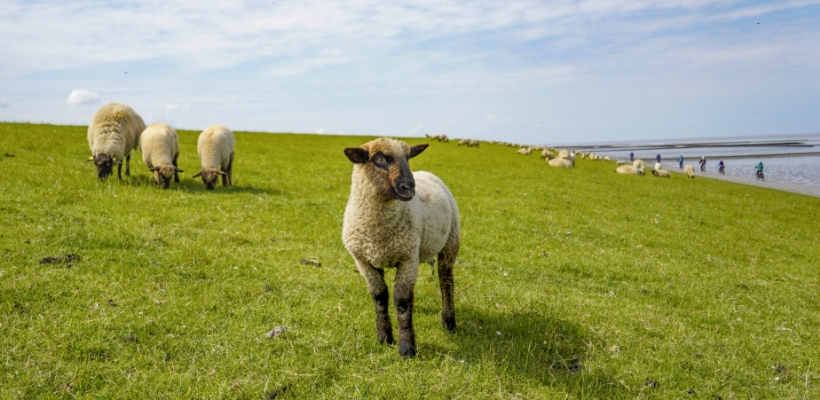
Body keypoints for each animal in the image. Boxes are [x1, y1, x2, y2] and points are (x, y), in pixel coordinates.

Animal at [342, 138, 462, 360]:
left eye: (408, 157)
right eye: (379, 159)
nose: (409, 188)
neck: (377, 231)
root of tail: (425, 172)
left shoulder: (407, 258)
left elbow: (402, 301)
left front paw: (407, 348)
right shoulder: (364, 260)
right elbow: (379, 296)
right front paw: (384, 338)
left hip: (450, 242)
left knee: (446, 281)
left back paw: (449, 321)